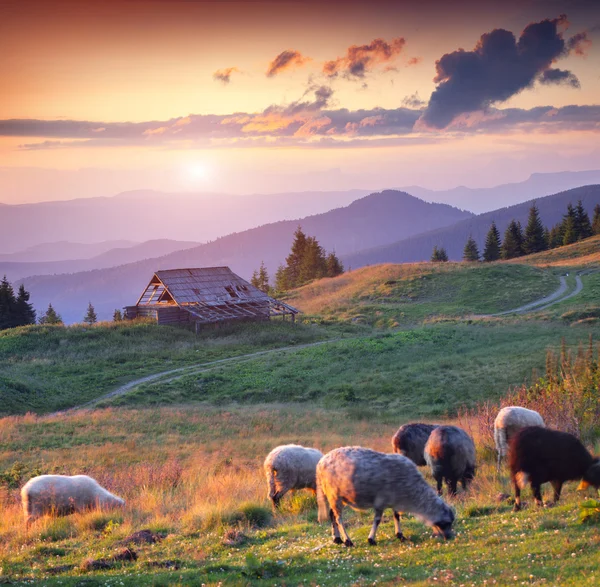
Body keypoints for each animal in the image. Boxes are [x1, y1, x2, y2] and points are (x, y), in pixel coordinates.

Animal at [316, 448, 452, 548]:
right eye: (446, 523)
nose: (450, 537)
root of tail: (321, 462)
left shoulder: (395, 499)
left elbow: (396, 516)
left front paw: (400, 535)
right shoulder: (381, 501)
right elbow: (377, 520)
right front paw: (371, 539)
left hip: (338, 496)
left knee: (332, 514)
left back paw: (337, 538)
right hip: (334, 494)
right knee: (339, 519)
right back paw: (347, 541)